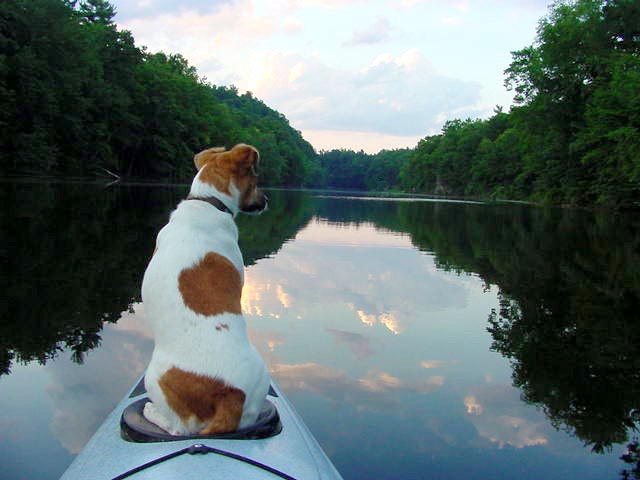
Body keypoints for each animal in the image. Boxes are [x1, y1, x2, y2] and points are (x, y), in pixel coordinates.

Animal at [140, 142, 270, 436]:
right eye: (256, 179)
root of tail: (232, 394)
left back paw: (153, 413)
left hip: (154, 378)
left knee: (179, 428)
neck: (207, 201)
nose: (267, 200)